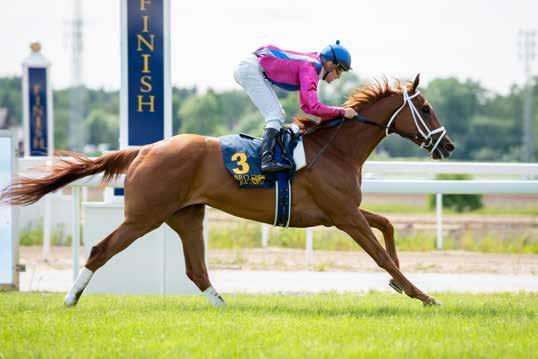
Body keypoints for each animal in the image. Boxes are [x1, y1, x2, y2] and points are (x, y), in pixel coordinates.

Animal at [1, 74, 452, 308]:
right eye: (426, 108)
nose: (447, 146)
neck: (336, 148)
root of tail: (144, 149)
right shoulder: (343, 217)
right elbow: (380, 255)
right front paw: (422, 294)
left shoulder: (341, 213)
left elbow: (388, 225)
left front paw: (401, 285)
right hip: (144, 216)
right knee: (100, 249)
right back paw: (70, 298)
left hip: (186, 216)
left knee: (195, 269)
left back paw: (222, 306)